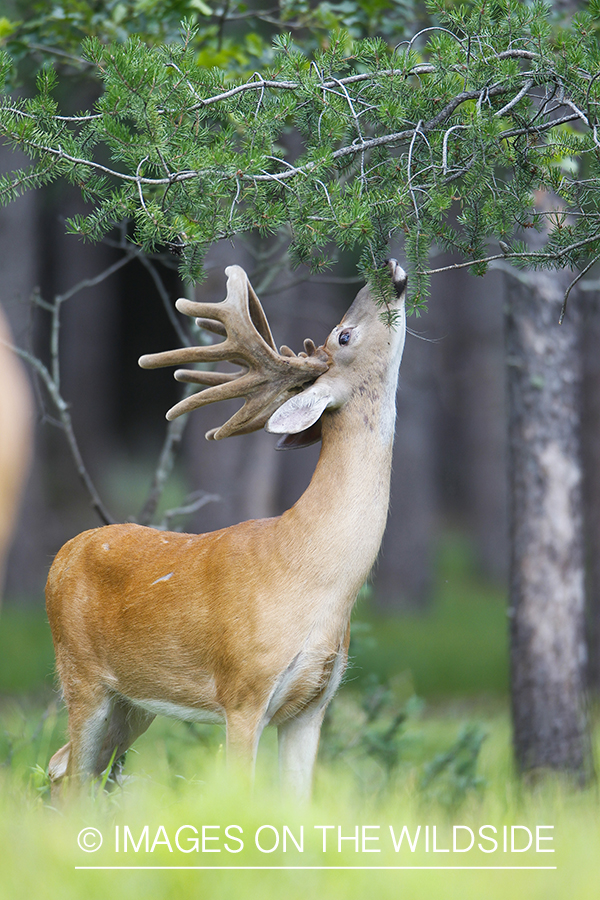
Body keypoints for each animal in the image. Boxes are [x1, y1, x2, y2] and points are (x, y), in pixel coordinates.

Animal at [45, 258, 408, 800]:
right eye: (343, 335)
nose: (387, 267)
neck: (317, 577)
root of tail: (62, 554)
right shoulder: (243, 690)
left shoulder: (315, 702)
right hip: (82, 676)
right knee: (69, 779)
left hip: (133, 703)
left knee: (64, 767)